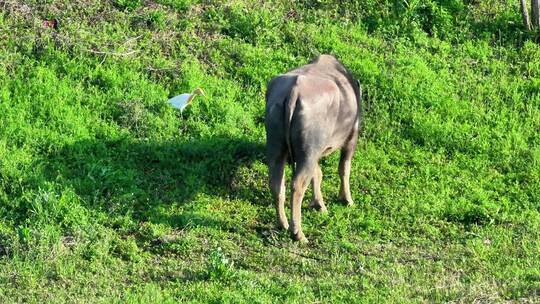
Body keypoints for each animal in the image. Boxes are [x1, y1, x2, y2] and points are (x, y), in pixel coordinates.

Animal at [264, 54, 362, 243]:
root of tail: (293, 91)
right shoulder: (351, 137)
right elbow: (344, 169)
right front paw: (347, 199)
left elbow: (318, 174)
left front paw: (319, 204)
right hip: (308, 151)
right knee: (298, 185)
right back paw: (298, 233)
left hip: (278, 146)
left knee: (277, 183)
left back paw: (283, 223)